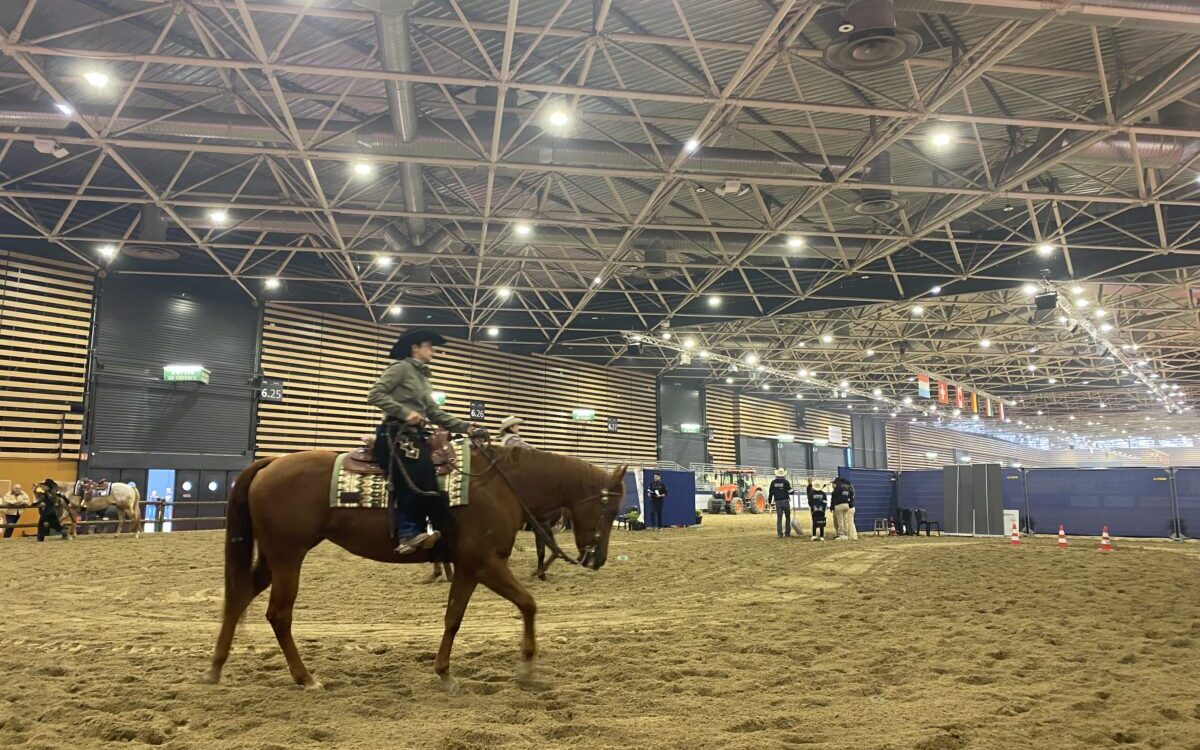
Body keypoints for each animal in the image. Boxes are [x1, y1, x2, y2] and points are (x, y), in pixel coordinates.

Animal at [204, 441, 628, 691]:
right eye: (609, 509)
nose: (598, 558)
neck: (501, 484)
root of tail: (270, 463)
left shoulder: (469, 566)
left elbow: (454, 617)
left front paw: (444, 673)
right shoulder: (485, 562)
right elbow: (528, 604)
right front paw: (526, 670)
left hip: (273, 558)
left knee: (239, 597)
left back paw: (216, 668)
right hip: (288, 556)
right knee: (278, 614)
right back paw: (305, 678)